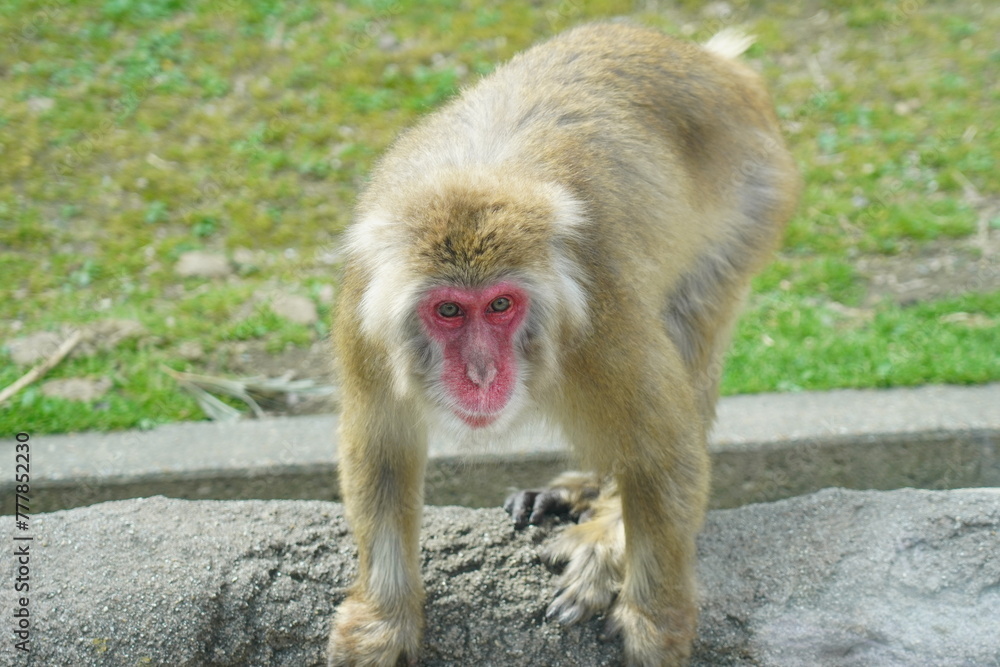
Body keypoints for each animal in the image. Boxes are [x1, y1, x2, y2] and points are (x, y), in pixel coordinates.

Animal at [328, 21, 799, 667]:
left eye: (501, 306)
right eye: (449, 310)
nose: (480, 372)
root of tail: (718, 65)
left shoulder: (601, 320)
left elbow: (664, 449)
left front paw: (654, 619)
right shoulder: (365, 322)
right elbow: (383, 451)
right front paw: (382, 620)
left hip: (754, 201)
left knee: (689, 333)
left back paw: (606, 526)